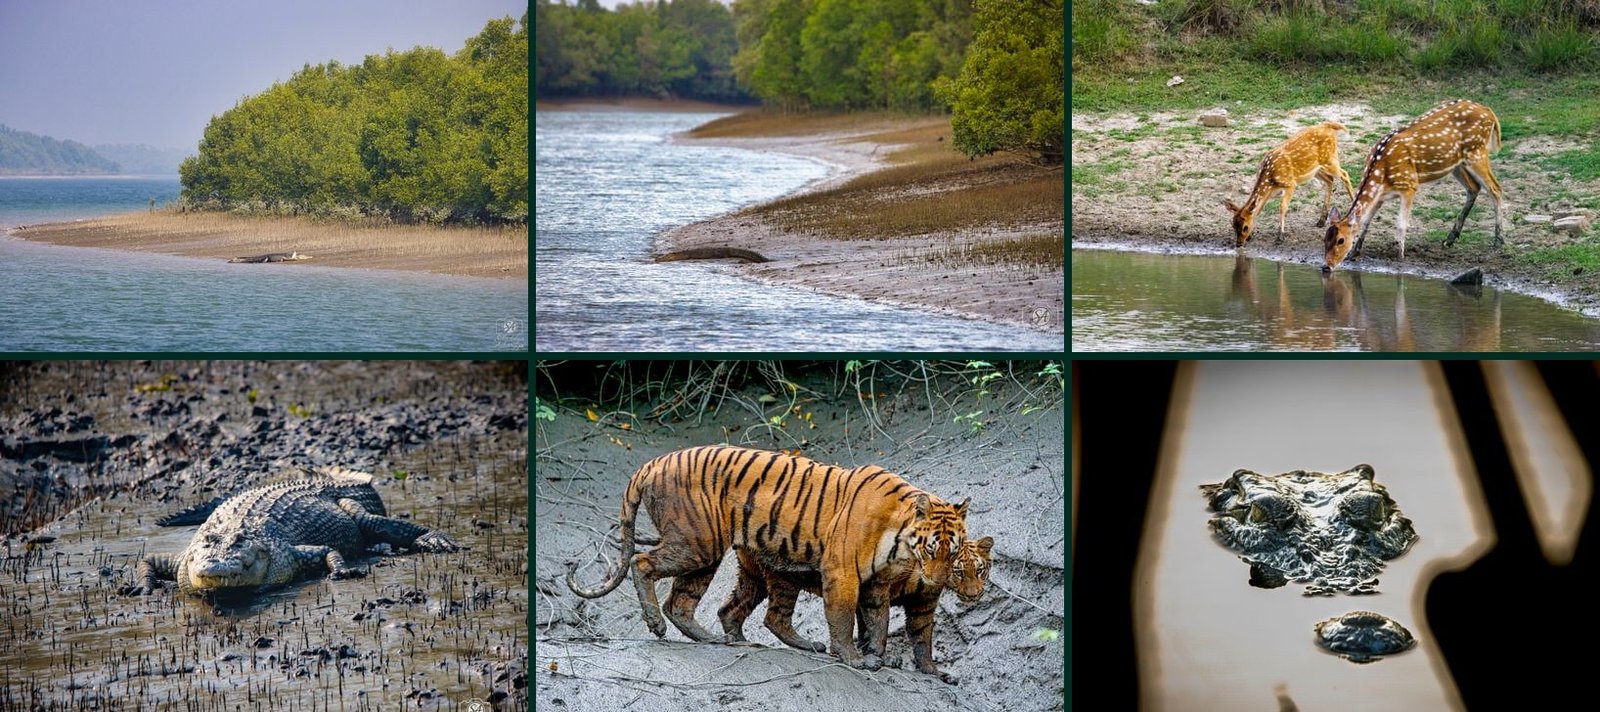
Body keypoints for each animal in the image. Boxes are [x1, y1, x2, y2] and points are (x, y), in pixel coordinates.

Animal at [564, 445, 970, 669]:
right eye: (931, 549)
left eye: (953, 553)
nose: (936, 582)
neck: (899, 540)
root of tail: (651, 463)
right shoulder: (842, 573)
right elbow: (842, 619)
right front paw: (853, 658)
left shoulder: (875, 585)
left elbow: (878, 622)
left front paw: (877, 656)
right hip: (697, 543)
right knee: (642, 564)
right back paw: (656, 624)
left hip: (712, 556)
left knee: (688, 603)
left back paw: (717, 639)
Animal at [718, 536, 994, 684]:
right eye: (959, 572)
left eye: (979, 570)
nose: (974, 594)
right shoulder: (875, 588)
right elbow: (876, 625)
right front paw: (879, 657)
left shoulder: (922, 605)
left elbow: (922, 640)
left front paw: (933, 672)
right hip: (785, 576)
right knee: (774, 617)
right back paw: (809, 645)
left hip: (753, 577)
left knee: (729, 609)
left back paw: (737, 639)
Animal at [1223, 120, 1354, 248]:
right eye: (1233, 225)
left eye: (1245, 227)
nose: (1239, 244)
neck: (1270, 178)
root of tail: (1328, 125)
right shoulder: (1271, 191)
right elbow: (1259, 209)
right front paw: (1252, 235)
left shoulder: (1290, 183)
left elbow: (1282, 207)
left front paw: (1280, 236)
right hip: (1315, 169)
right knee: (1330, 180)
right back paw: (1321, 220)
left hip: (1330, 159)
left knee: (1345, 174)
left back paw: (1353, 205)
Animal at [1322, 99, 1504, 272]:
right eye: (1324, 239)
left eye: (1341, 240)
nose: (1326, 266)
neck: (1381, 175)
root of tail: (1489, 111)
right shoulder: (1380, 196)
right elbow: (1366, 221)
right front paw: (1355, 252)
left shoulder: (1409, 185)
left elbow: (1401, 224)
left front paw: (1400, 256)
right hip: (1457, 164)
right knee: (1474, 188)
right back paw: (1449, 239)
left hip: (1477, 152)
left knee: (1496, 189)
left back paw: (1499, 241)